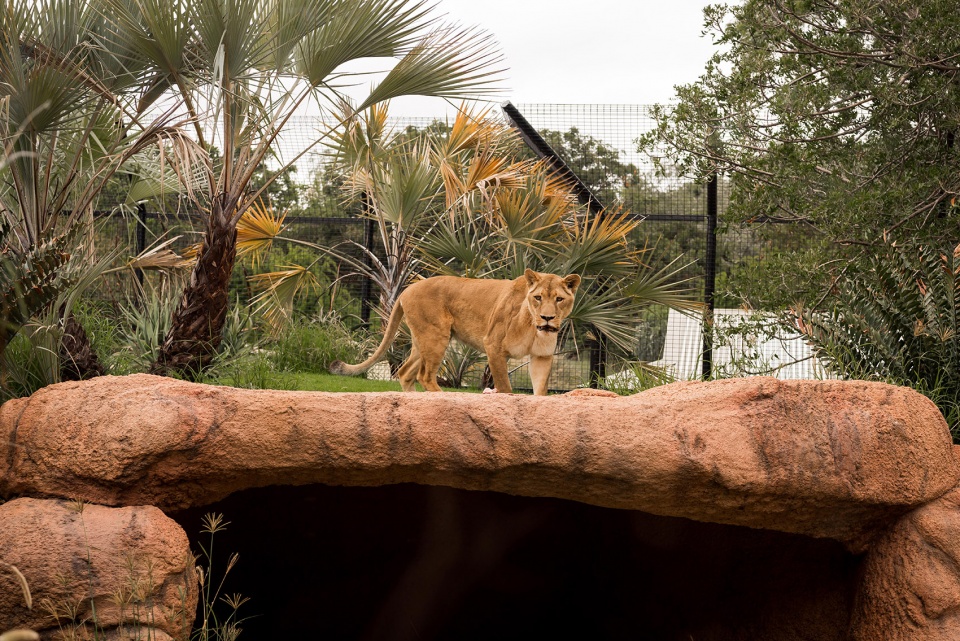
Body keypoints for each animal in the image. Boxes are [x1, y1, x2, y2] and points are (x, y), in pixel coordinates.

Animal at [329, 269, 581, 395]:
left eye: (559, 299)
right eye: (538, 297)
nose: (547, 318)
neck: (534, 326)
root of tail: (406, 290)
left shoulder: (542, 356)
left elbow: (540, 391)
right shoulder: (493, 345)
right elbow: (505, 387)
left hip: (423, 340)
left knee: (405, 372)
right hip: (436, 336)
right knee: (424, 375)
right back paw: (442, 397)